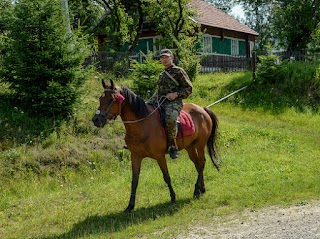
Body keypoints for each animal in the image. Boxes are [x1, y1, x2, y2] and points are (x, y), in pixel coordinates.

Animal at [91, 79, 219, 212]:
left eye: (111, 99)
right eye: (100, 98)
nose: (95, 119)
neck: (142, 125)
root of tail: (203, 109)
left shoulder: (159, 156)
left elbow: (166, 176)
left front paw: (173, 197)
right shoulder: (135, 156)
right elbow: (134, 181)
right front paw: (130, 206)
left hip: (200, 144)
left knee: (202, 163)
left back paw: (197, 190)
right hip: (190, 147)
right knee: (198, 164)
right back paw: (201, 189)